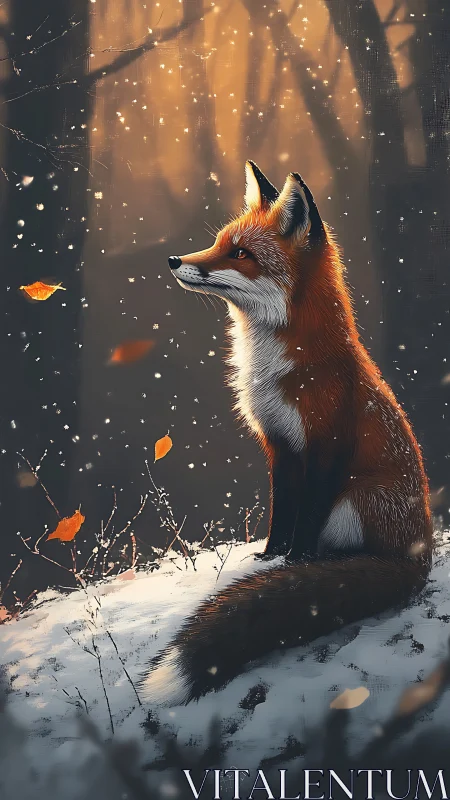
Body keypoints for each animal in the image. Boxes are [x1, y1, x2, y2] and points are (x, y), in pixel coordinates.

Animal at [141, 161, 432, 705]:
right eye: (218, 243)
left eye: (241, 254)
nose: (173, 260)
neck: (280, 367)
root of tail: (419, 556)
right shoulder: (278, 445)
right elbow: (282, 513)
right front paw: (270, 560)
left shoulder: (324, 446)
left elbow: (307, 516)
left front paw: (295, 562)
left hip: (357, 498)